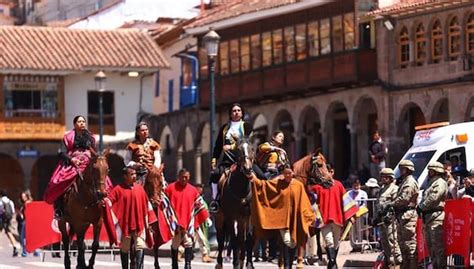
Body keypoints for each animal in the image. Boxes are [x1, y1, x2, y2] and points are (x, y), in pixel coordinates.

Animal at [215, 135, 256, 268]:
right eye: (238, 150)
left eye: (252, 148)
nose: (247, 169)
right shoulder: (230, 217)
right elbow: (233, 239)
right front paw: (236, 263)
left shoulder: (250, 216)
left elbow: (248, 238)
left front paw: (248, 264)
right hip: (220, 218)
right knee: (221, 239)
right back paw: (220, 263)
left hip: (242, 219)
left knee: (241, 239)